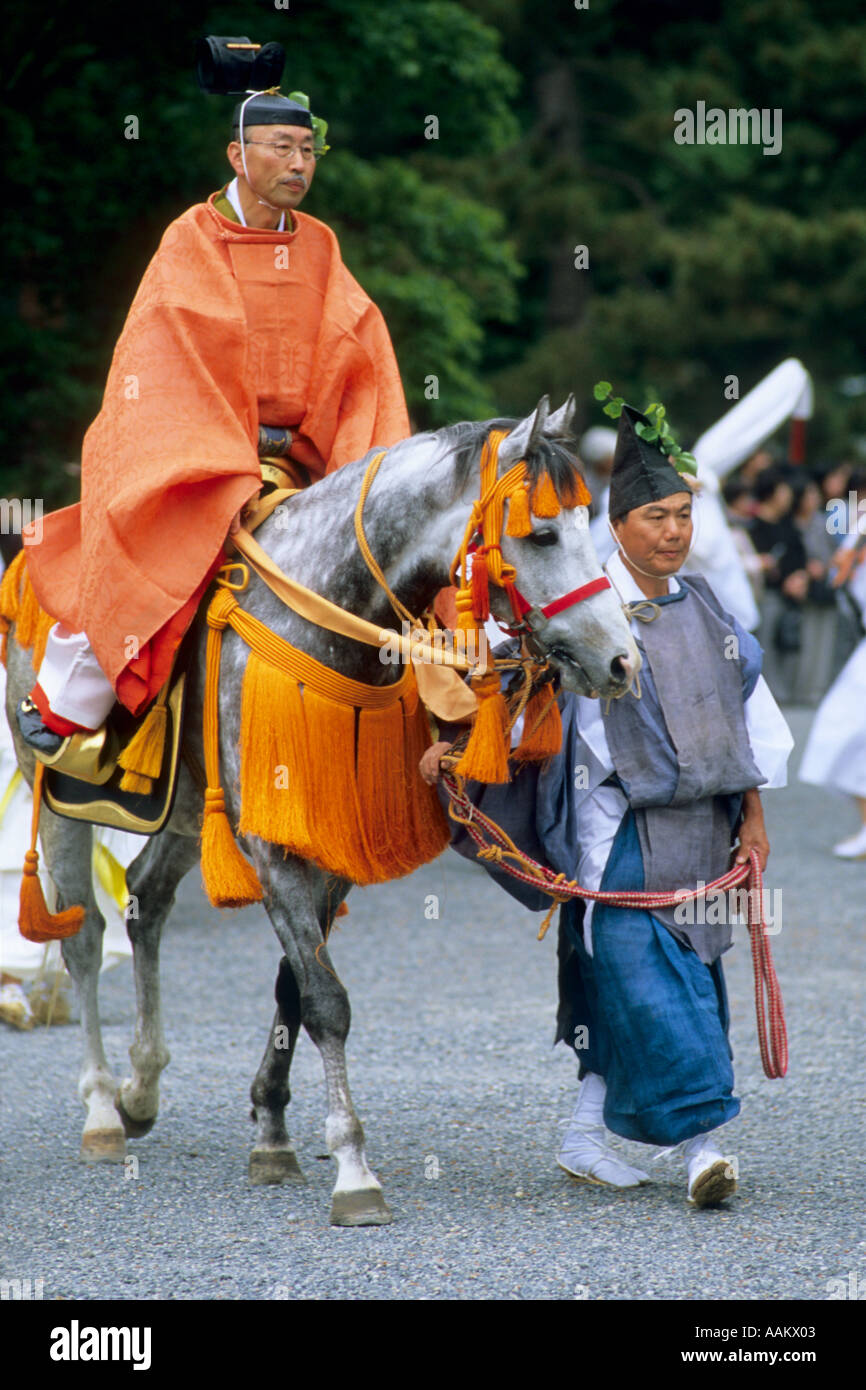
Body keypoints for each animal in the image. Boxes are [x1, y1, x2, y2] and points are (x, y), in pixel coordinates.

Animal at [6, 394, 639, 1228]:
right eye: (540, 534)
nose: (621, 660)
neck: (327, 611)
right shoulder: (268, 841)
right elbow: (326, 1001)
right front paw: (353, 1167)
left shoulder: (327, 836)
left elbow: (295, 988)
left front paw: (272, 1130)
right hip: (53, 786)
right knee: (82, 934)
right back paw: (104, 1108)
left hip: (189, 802)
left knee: (146, 900)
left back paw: (142, 1085)